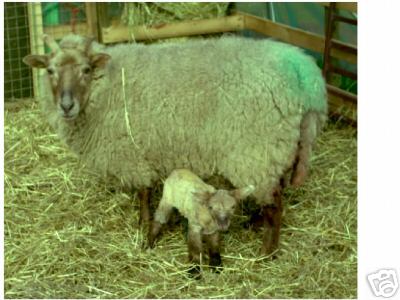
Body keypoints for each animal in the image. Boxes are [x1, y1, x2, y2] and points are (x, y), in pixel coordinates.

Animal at [22, 33, 328, 255]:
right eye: (50, 70)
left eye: (86, 69)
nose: (66, 106)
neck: (103, 88)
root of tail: (309, 79)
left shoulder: (132, 152)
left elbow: (143, 192)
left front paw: (143, 224)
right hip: (280, 145)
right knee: (279, 186)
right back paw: (256, 223)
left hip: (256, 149)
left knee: (275, 203)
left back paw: (266, 252)